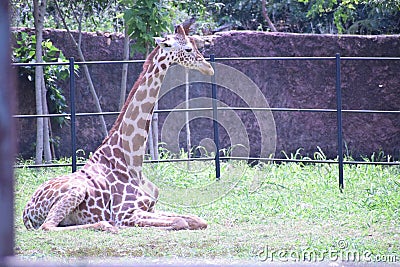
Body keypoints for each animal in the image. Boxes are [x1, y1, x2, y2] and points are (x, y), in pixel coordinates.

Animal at [21, 24, 214, 232]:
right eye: (188, 49)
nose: (208, 67)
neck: (133, 163)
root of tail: (26, 212)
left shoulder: (150, 207)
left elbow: (197, 219)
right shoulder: (125, 213)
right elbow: (180, 221)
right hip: (77, 191)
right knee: (48, 226)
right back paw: (107, 225)